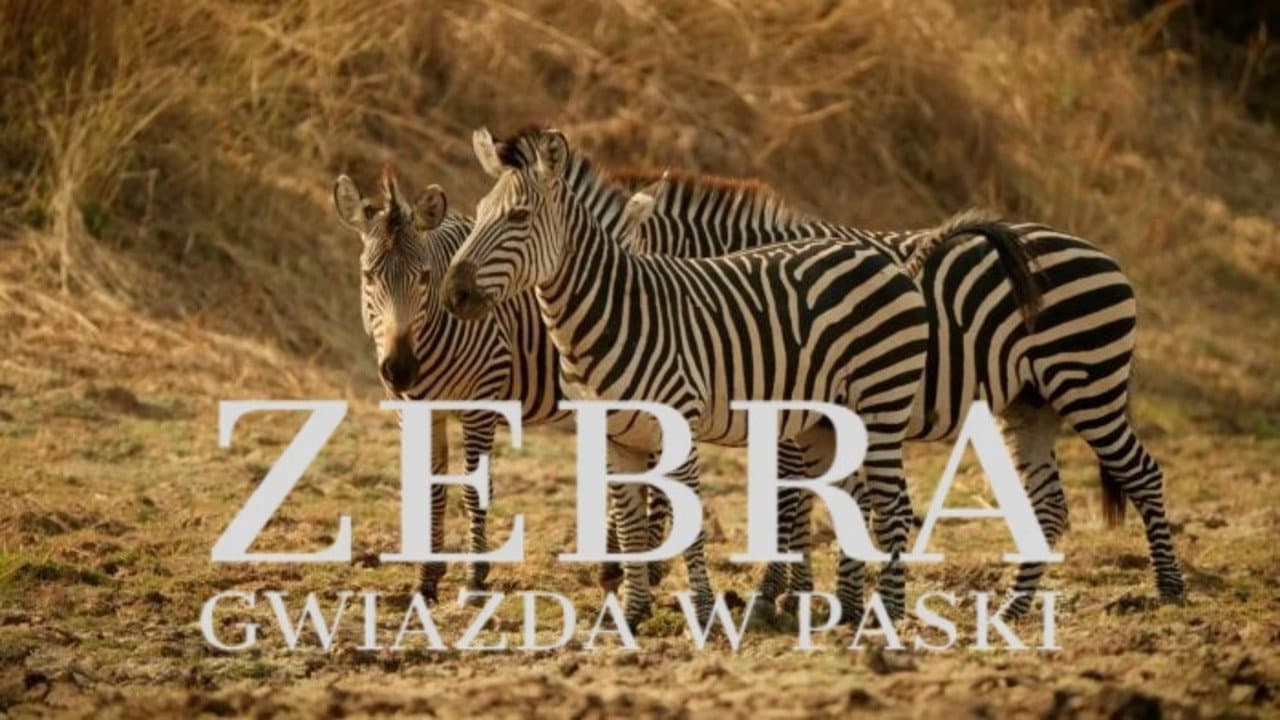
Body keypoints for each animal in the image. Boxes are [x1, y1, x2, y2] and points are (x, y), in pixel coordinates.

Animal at [440, 128, 943, 625]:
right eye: (479, 214)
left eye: (519, 216)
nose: (453, 294)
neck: (609, 312)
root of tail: (882, 258)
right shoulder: (614, 436)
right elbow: (631, 526)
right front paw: (630, 611)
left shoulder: (676, 426)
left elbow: (687, 525)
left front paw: (701, 611)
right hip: (824, 424)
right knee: (853, 501)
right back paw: (848, 611)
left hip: (880, 403)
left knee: (893, 507)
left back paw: (887, 615)